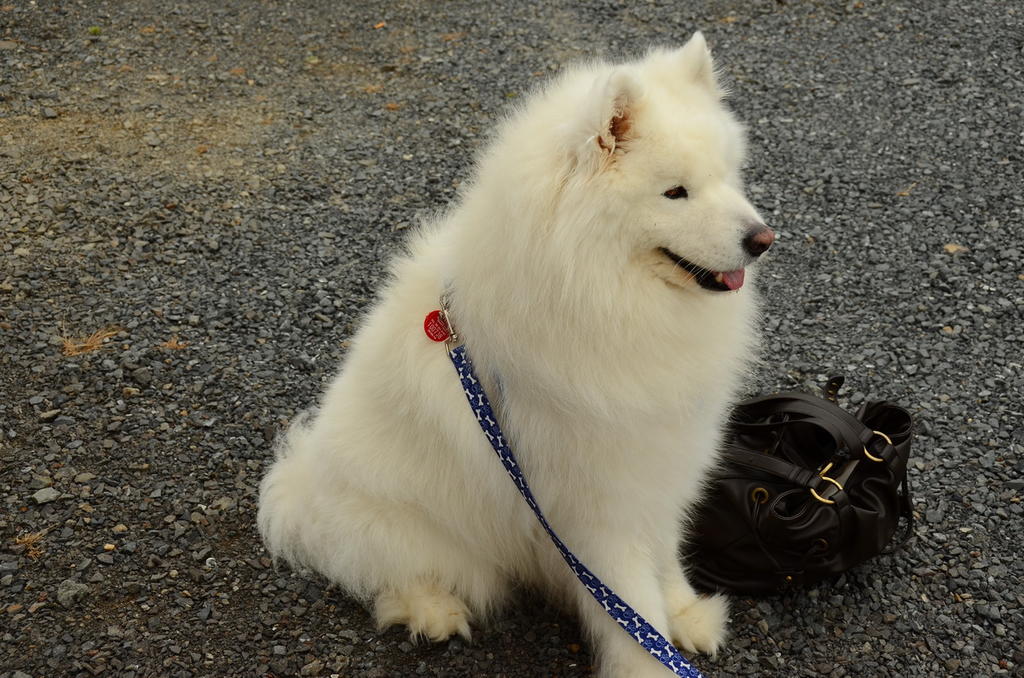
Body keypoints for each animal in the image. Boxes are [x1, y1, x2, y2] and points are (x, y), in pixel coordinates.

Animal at [258, 32, 773, 677]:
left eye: (728, 177)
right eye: (675, 192)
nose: (763, 239)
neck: (606, 296)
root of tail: (300, 484)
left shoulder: (660, 461)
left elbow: (664, 553)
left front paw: (684, 612)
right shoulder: (597, 503)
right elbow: (631, 606)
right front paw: (651, 661)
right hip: (414, 531)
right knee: (386, 575)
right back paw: (434, 611)